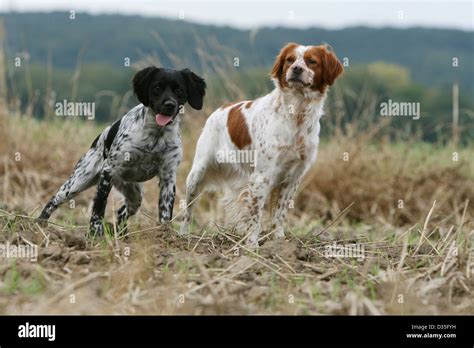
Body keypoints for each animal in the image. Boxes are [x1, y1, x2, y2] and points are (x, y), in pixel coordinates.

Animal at [37, 66, 206, 235]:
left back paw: (122, 234)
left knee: (122, 212)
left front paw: (165, 234)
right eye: (157, 87)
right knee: (54, 200)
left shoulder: (168, 177)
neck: (155, 136)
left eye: (180, 89)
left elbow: (165, 211)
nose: (169, 104)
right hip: (77, 182)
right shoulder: (108, 171)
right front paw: (95, 232)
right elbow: (99, 205)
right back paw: (39, 224)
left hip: (134, 194)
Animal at [180, 42, 342, 246]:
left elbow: (279, 213)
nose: (296, 69)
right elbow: (255, 215)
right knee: (188, 209)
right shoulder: (262, 176)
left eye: (312, 61)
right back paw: (182, 235)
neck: (296, 113)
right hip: (197, 173)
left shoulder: (293, 177)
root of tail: (221, 108)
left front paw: (278, 240)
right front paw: (252, 245)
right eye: (289, 60)